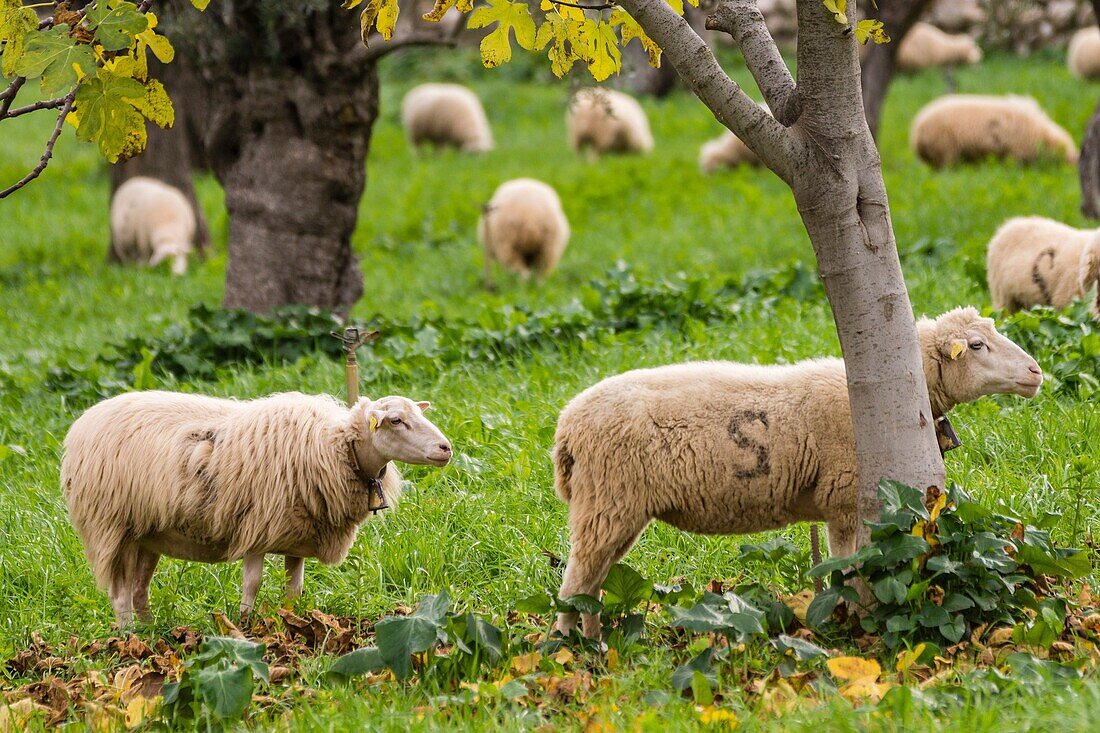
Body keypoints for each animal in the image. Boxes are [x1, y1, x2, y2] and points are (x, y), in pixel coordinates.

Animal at [59, 387, 455, 620]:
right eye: (396, 420)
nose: (446, 448)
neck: (335, 447)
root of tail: (82, 423)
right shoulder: (256, 528)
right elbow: (252, 583)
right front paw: (245, 625)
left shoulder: (298, 536)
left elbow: (294, 587)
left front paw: (291, 620)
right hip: (114, 525)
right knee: (120, 596)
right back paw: (132, 640)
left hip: (148, 534)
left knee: (139, 591)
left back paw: (151, 633)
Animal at [554, 305, 1042, 638]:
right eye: (976, 346)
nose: (1036, 372)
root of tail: (566, 426)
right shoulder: (842, 496)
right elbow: (848, 566)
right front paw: (853, 619)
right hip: (608, 499)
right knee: (576, 580)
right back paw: (571, 649)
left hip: (613, 508)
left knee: (592, 583)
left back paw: (593, 639)